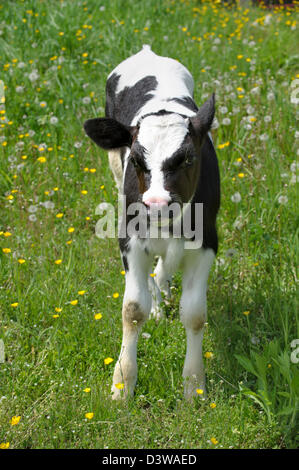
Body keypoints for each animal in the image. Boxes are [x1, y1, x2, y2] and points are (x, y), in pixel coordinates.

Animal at [84, 45, 220, 400]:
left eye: (188, 158)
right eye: (135, 159)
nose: (156, 205)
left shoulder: (206, 243)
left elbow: (195, 315)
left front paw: (194, 387)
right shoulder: (130, 240)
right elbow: (133, 310)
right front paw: (122, 384)